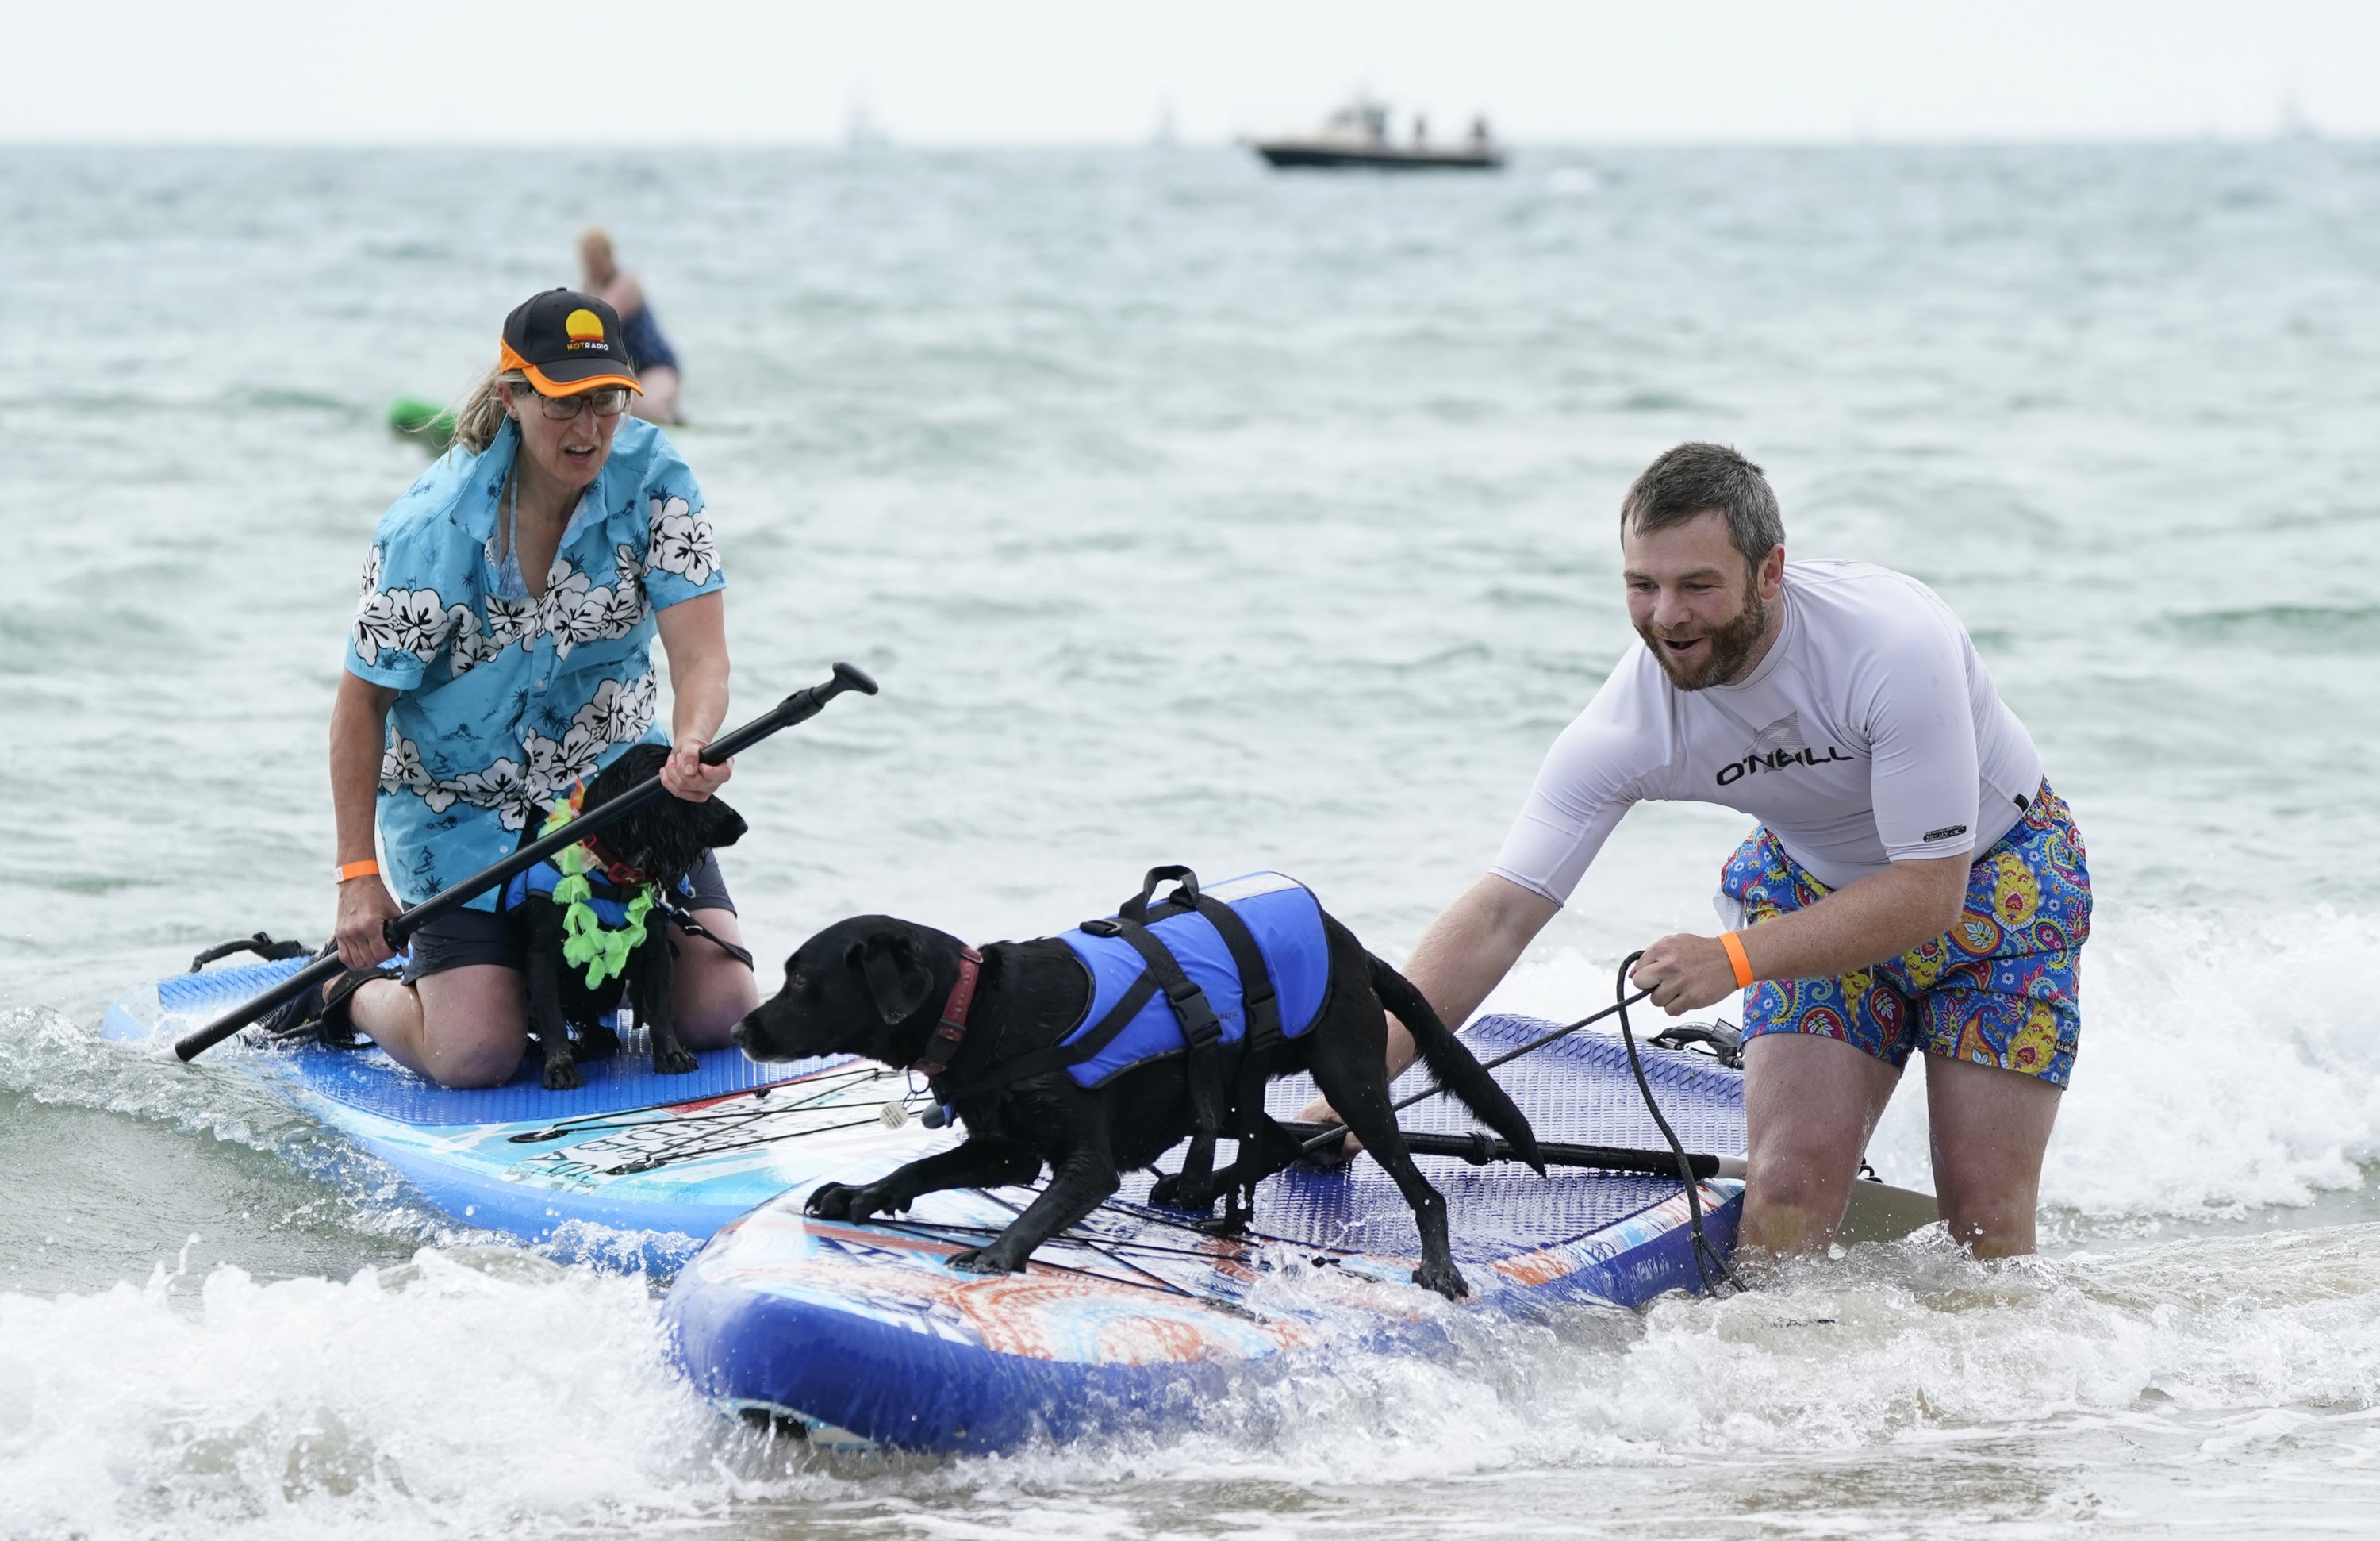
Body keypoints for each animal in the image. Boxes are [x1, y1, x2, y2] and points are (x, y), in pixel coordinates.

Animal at [507, 743, 747, 1090]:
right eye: (697, 795)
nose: (742, 825)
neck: (611, 871)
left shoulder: (656, 948)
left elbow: (660, 1008)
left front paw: (671, 1055)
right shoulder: (542, 955)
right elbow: (552, 1017)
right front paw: (560, 1067)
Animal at [733, 867, 1533, 1305]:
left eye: (800, 980)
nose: (741, 1029)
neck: (981, 1008)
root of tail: (1355, 948)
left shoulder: (1086, 1164)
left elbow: (1045, 1207)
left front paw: (998, 1254)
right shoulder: (1005, 1150)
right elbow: (920, 1167)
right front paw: (860, 1195)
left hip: (1350, 1082)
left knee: (1417, 1187)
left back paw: (1437, 1265)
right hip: (1235, 1096)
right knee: (1274, 1145)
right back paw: (1200, 1190)